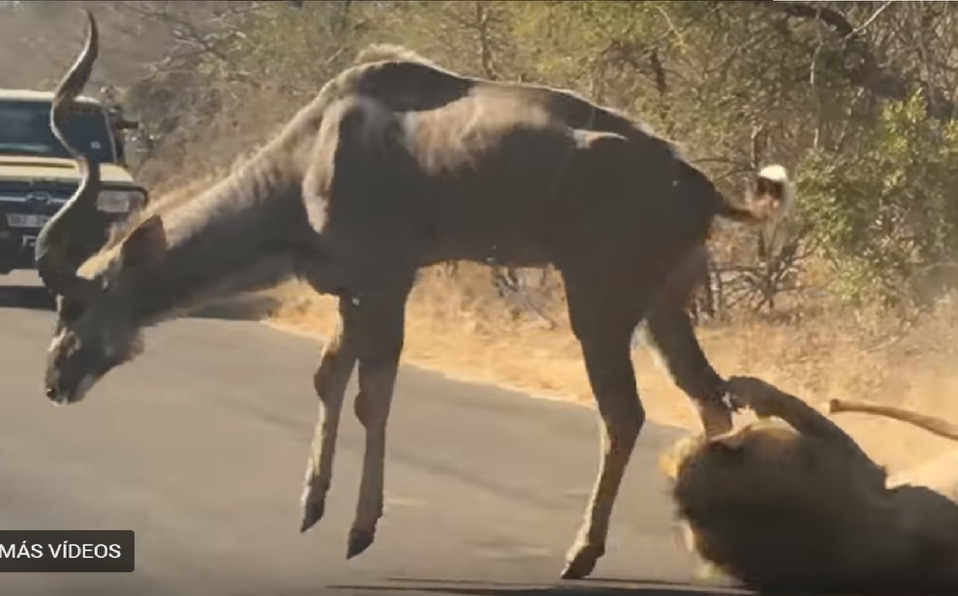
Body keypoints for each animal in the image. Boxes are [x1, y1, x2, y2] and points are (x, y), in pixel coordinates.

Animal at [36, 12, 793, 579]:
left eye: (77, 304)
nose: (54, 381)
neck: (311, 158)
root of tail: (699, 186)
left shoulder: (385, 281)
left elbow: (372, 395)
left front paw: (359, 530)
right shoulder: (350, 290)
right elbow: (329, 377)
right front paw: (310, 507)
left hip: (600, 301)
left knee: (627, 413)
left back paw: (580, 555)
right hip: (663, 304)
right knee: (708, 398)